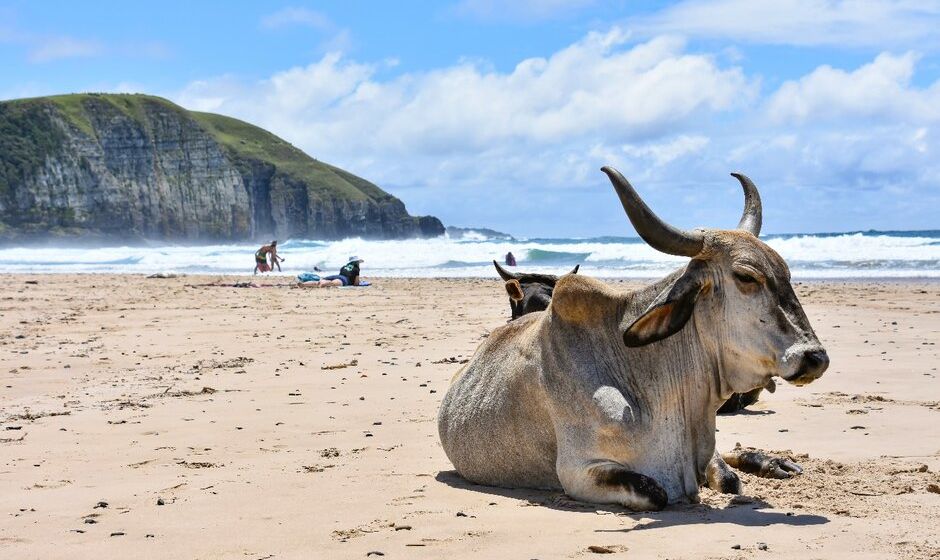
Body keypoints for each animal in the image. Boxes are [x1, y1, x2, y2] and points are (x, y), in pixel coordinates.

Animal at [436, 168, 828, 510]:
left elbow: (729, 479)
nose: (816, 358)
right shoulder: (579, 472)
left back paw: (773, 462)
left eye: (786, 272)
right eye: (746, 277)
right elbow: (657, 492)